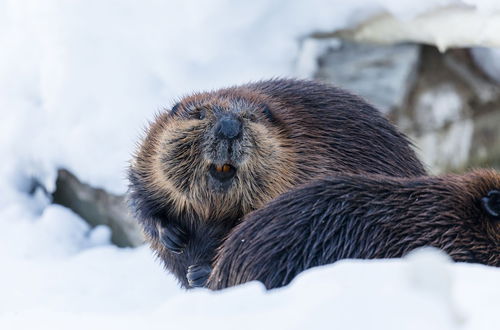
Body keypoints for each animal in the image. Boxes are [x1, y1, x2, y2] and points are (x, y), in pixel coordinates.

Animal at [128, 78, 426, 288]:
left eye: (251, 117)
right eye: (199, 114)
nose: (229, 127)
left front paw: (199, 269)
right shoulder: (148, 155)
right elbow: (141, 197)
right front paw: (173, 237)